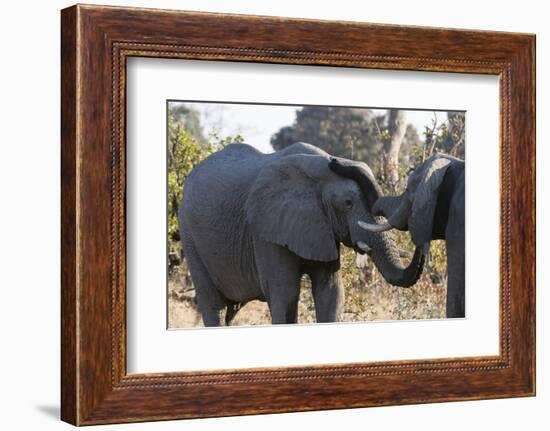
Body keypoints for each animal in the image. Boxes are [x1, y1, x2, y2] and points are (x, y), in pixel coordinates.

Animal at [180, 143, 426, 328]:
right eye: (347, 203)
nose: (338, 162)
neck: (315, 169)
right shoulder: (265, 230)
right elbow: (285, 294)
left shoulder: (321, 228)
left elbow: (331, 293)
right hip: (189, 237)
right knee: (214, 304)